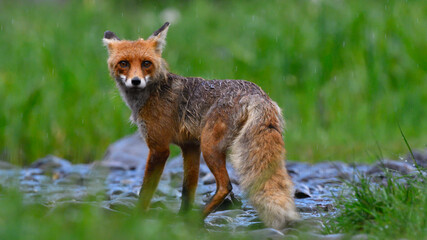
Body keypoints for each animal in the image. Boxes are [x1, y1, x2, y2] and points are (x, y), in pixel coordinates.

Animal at [102, 23, 300, 231]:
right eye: (124, 63)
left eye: (146, 63)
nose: (136, 81)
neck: (153, 93)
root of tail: (257, 94)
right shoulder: (190, 146)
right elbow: (188, 189)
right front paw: (181, 216)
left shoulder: (159, 147)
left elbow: (146, 190)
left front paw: (137, 219)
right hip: (209, 146)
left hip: (210, 147)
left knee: (225, 185)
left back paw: (197, 218)